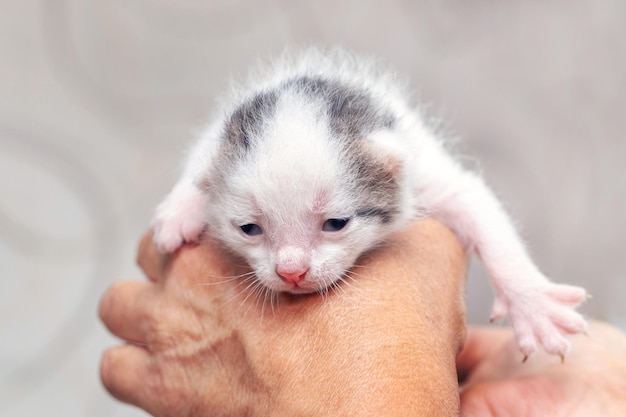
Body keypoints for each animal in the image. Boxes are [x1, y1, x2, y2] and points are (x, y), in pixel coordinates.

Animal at [151, 46, 584, 358]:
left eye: (336, 223)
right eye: (249, 228)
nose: (292, 272)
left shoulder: (422, 170)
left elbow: (478, 208)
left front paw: (532, 304)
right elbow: (199, 162)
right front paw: (179, 209)